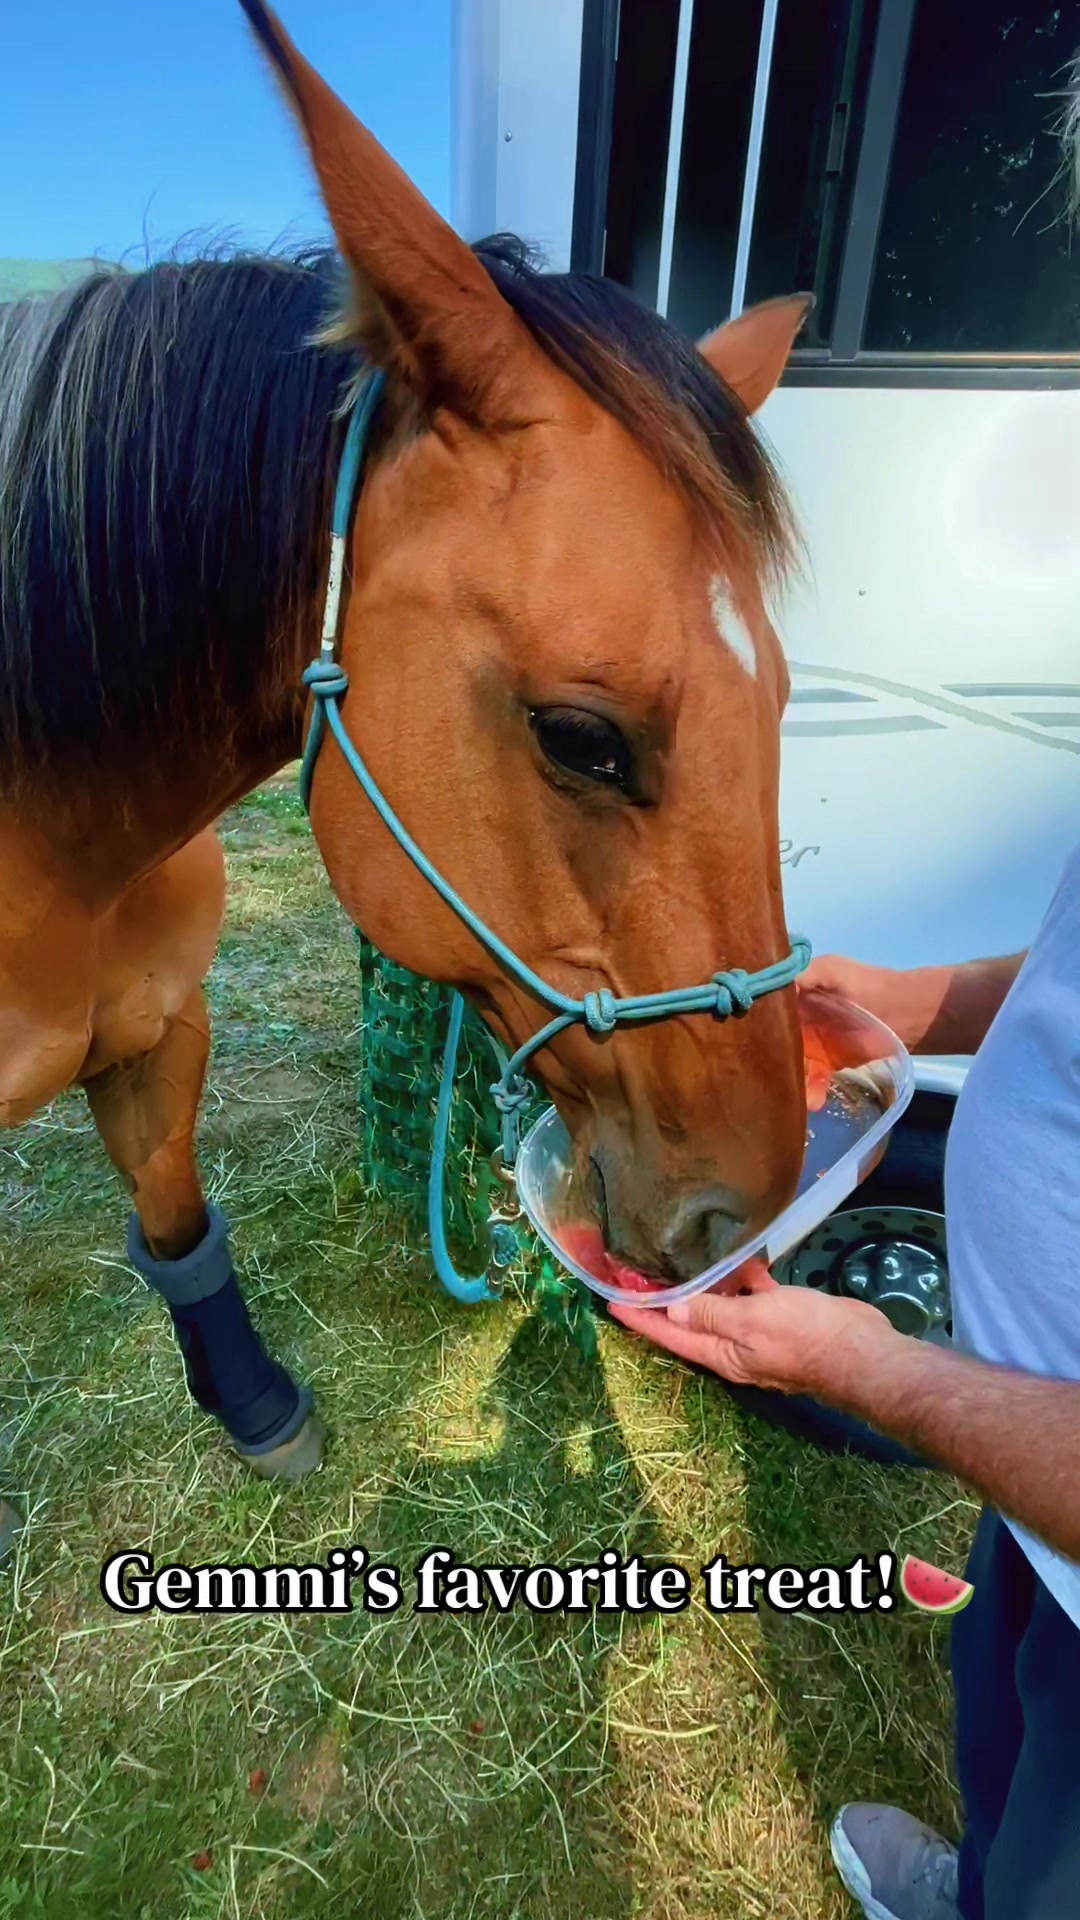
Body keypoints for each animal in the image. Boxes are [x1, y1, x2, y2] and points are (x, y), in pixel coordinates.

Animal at [0, 0, 811, 1484]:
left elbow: (172, 1216)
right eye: (582, 736)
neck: (61, 851)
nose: (746, 1224)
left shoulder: (159, 1035)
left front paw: (254, 1401)